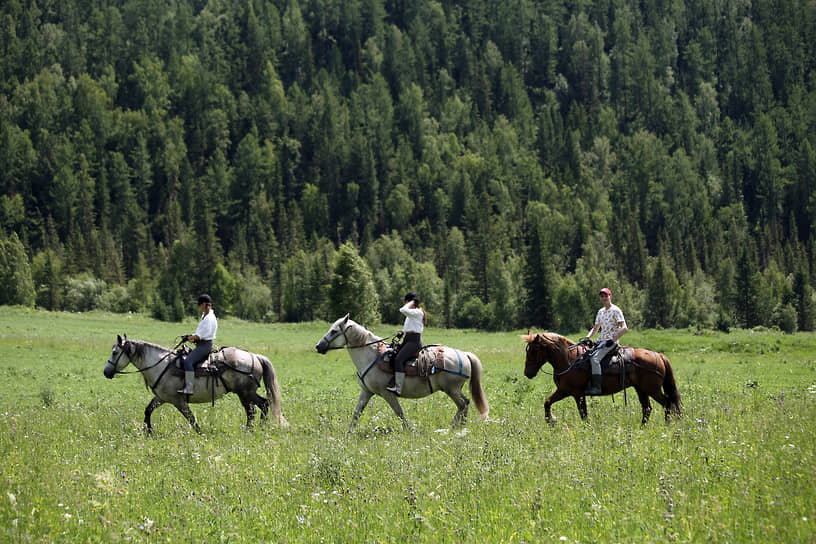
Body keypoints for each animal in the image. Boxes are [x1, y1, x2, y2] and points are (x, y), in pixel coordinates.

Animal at [102, 334, 288, 432]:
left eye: (114, 352)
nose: (106, 372)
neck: (160, 364)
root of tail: (254, 356)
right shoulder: (162, 398)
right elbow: (148, 410)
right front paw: (148, 431)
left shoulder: (177, 400)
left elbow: (190, 418)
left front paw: (200, 433)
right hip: (247, 393)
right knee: (261, 406)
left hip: (245, 393)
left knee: (258, 408)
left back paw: (252, 430)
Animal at [316, 314, 488, 430]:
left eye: (334, 331)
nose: (318, 346)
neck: (370, 355)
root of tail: (464, 354)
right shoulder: (366, 392)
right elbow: (357, 413)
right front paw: (348, 433)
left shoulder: (387, 393)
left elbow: (399, 412)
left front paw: (407, 430)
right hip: (454, 390)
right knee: (465, 404)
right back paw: (460, 427)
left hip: (451, 389)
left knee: (463, 404)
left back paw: (453, 426)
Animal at [524, 332, 684, 424]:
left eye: (533, 351)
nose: (527, 373)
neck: (569, 361)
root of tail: (659, 355)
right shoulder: (564, 390)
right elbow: (547, 402)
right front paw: (551, 420)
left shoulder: (578, 394)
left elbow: (583, 414)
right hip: (641, 389)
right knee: (647, 408)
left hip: (652, 389)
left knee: (667, 403)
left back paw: (667, 424)